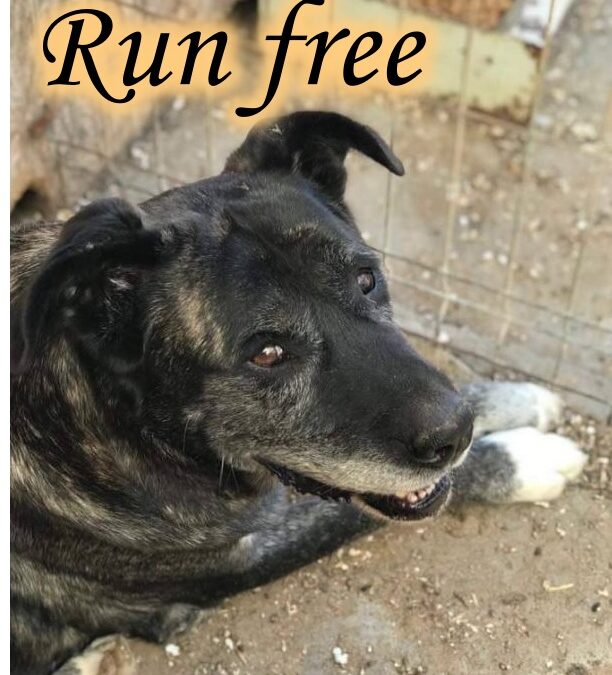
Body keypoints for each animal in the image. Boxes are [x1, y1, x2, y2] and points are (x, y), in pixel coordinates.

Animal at [10, 110, 587, 675]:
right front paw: (523, 458)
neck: (106, 419)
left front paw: (518, 400)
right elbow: (346, 517)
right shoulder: (244, 554)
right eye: (267, 353)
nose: (454, 432)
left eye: (366, 279)